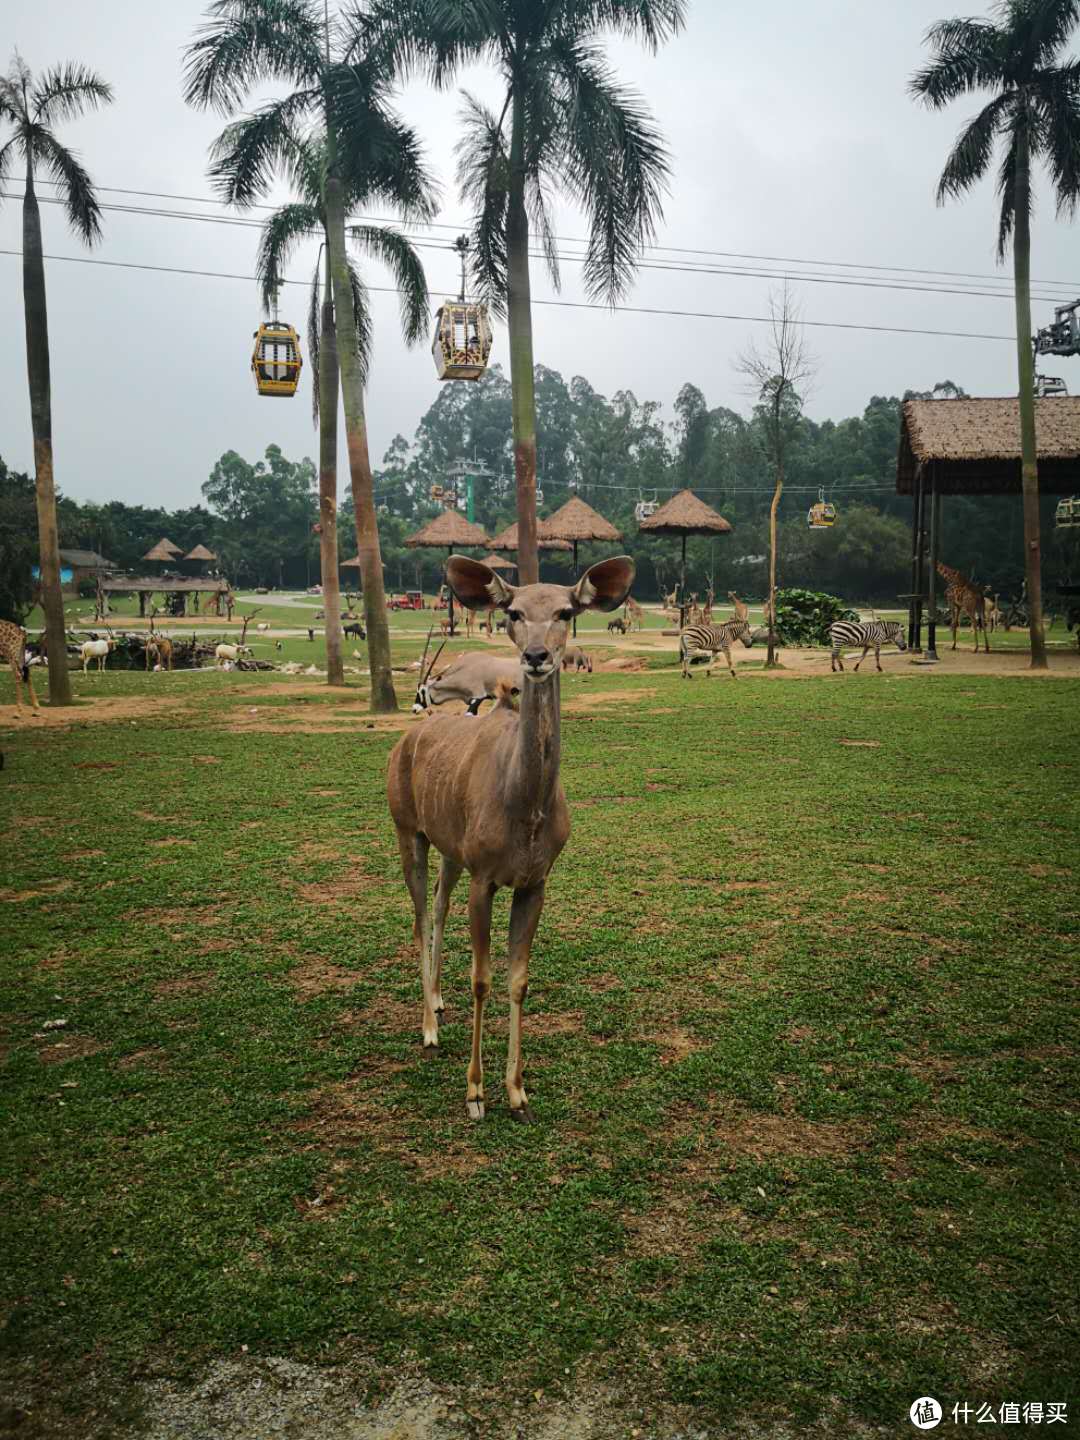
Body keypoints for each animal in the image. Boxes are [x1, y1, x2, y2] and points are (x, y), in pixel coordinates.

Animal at [385, 550, 633, 1123]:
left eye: (566, 611)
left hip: (449, 854)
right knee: (420, 916)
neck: (526, 808)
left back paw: (437, 1002)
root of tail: (407, 739)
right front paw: (476, 1094)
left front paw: (517, 1093)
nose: (538, 656)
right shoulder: (485, 881)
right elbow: (482, 980)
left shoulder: (533, 883)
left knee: (438, 905)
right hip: (410, 836)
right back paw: (428, 1028)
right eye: (513, 612)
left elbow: (518, 979)